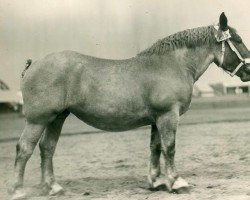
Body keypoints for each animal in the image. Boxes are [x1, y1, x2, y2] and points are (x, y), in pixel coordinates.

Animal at [10, 12, 250, 200]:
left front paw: (157, 182)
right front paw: (177, 182)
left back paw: (53, 187)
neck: (172, 65)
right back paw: (17, 191)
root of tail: (34, 64)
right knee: (25, 149)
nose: (248, 71)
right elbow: (169, 147)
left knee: (47, 148)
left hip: (57, 117)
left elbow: (156, 148)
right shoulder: (168, 115)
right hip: (38, 120)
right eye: (237, 40)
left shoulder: (157, 119)